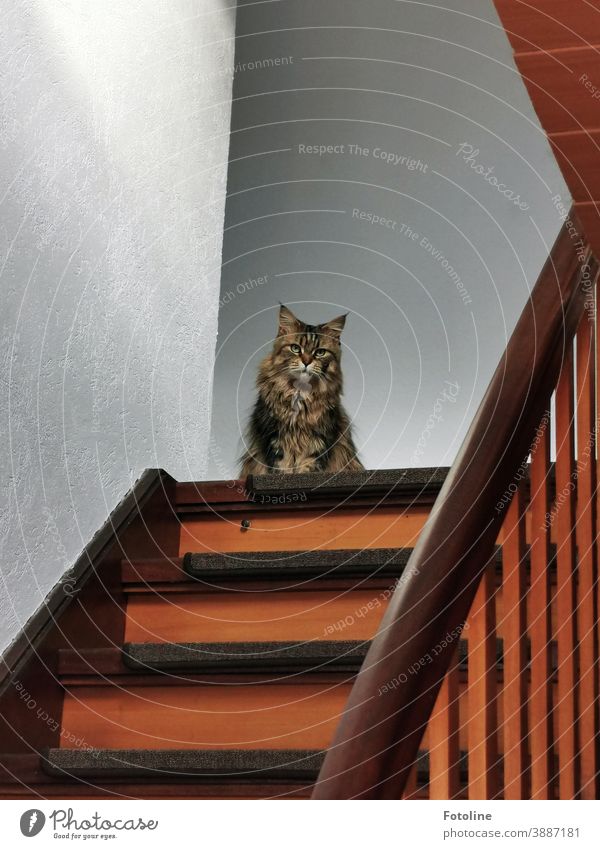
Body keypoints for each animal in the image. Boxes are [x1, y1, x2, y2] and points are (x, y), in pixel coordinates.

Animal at [240, 304, 366, 476]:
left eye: (320, 352)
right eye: (295, 348)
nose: (306, 362)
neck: (299, 394)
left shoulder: (318, 442)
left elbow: (308, 468)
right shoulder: (275, 440)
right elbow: (281, 469)